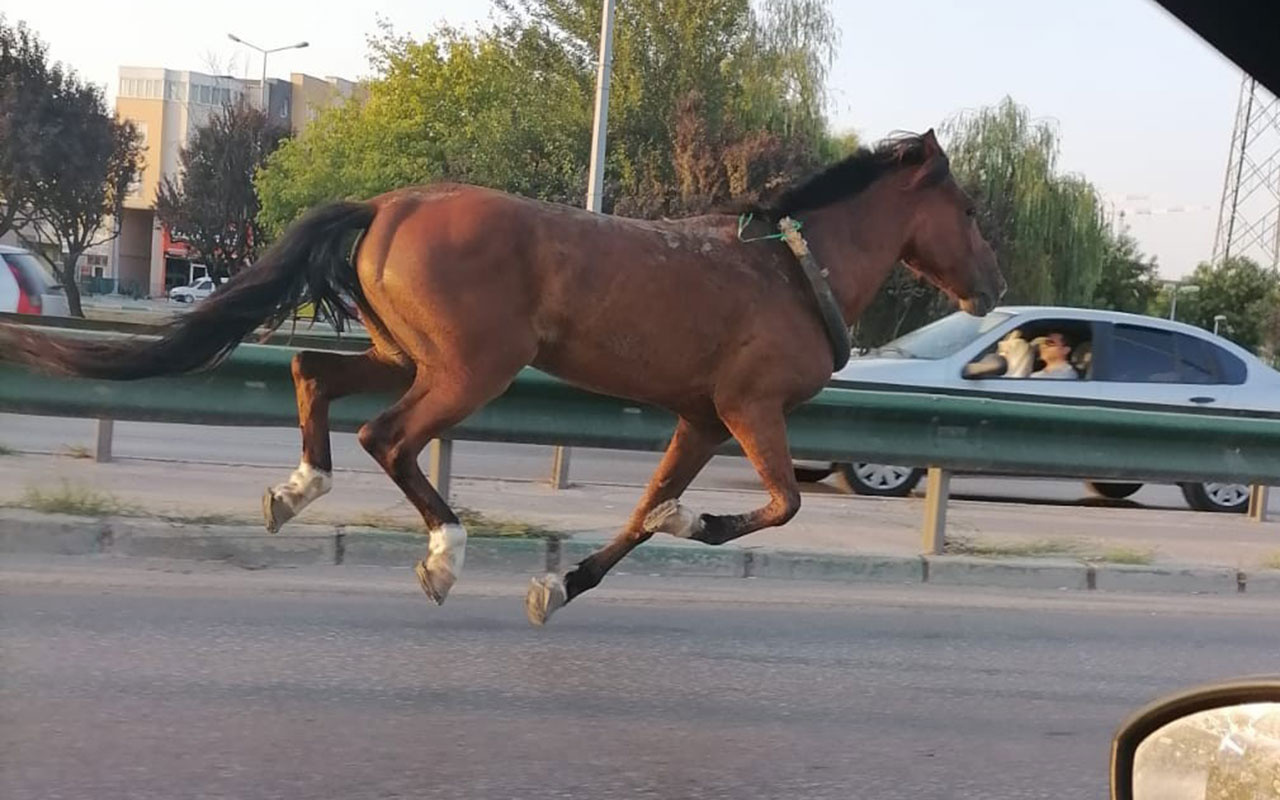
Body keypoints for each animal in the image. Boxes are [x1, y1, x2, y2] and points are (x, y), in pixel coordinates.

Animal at [0, 129, 998, 624]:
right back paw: (444, 550)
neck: (792, 269)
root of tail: (389, 205)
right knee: (386, 436)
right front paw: (695, 521)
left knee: (312, 371)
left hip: (408, 353)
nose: (991, 287)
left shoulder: (700, 419)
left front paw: (562, 585)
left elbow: (642, 513)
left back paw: (297, 487)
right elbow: (779, 504)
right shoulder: (749, 408)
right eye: (968, 209)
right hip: (472, 368)